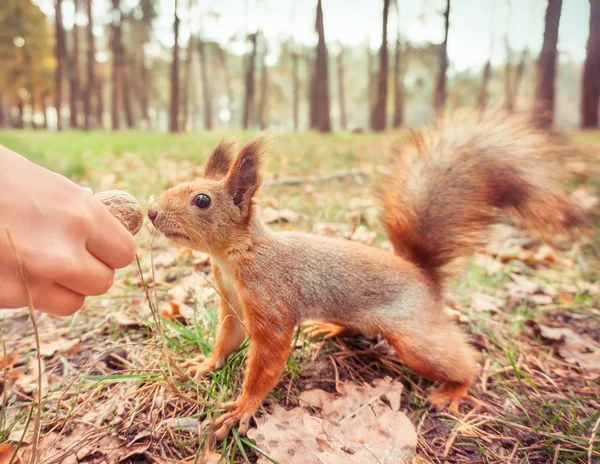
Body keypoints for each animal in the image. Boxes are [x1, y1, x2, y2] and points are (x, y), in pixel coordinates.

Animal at [146, 111, 584, 438]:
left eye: (202, 200)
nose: (151, 213)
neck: (232, 257)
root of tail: (420, 274)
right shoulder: (233, 303)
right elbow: (227, 339)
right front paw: (205, 365)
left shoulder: (271, 301)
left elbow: (266, 360)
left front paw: (242, 408)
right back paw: (331, 329)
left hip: (415, 338)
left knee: (458, 360)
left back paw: (455, 389)